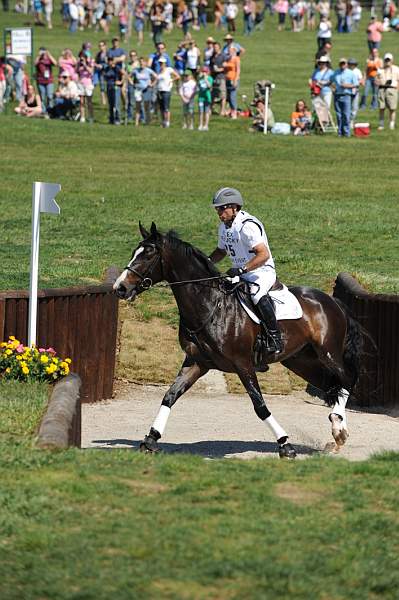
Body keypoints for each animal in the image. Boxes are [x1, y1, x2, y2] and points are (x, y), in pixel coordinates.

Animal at [113, 223, 366, 458]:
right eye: (135, 252)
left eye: (148, 254)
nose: (120, 288)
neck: (209, 306)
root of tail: (332, 301)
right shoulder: (197, 362)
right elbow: (170, 396)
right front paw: (151, 439)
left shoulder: (242, 364)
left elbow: (260, 406)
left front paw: (285, 444)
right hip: (301, 361)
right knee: (332, 385)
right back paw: (337, 431)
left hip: (328, 353)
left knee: (348, 379)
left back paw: (338, 428)